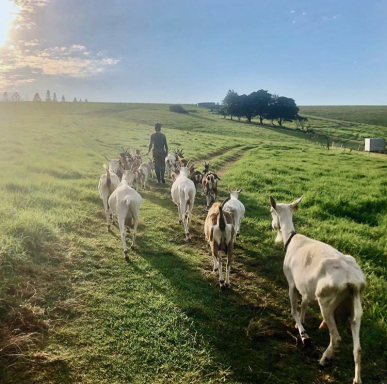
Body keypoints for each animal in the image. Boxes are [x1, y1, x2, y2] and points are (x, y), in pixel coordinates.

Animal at [270, 196, 366, 382]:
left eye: (272, 211)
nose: (272, 225)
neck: (291, 239)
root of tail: (353, 282)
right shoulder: (306, 288)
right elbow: (304, 304)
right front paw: (302, 322)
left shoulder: (292, 282)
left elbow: (294, 309)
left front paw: (303, 334)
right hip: (355, 308)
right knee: (358, 348)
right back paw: (356, 379)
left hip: (327, 302)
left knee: (336, 338)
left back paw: (324, 359)